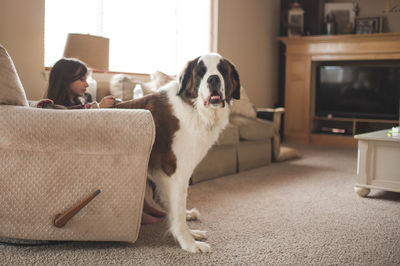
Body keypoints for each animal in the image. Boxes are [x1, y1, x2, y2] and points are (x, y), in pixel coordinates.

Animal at [115, 53, 241, 252]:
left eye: (222, 70)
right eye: (201, 72)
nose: (213, 79)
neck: (194, 108)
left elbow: (174, 208)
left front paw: (189, 231)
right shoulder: (174, 172)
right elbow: (178, 209)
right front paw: (189, 242)